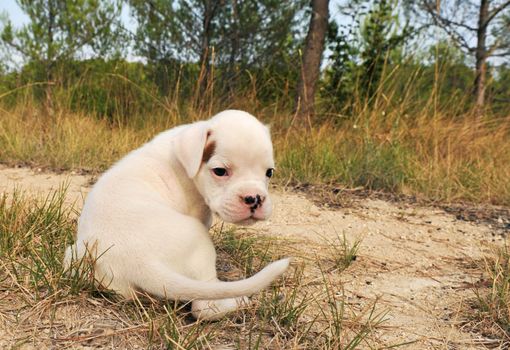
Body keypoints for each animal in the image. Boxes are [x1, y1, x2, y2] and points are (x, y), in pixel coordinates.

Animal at [66, 109, 290, 320]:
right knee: (205, 304)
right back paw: (238, 300)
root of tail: (139, 262)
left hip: (75, 257)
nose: (254, 198)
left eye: (269, 172)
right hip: (198, 238)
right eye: (219, 171)